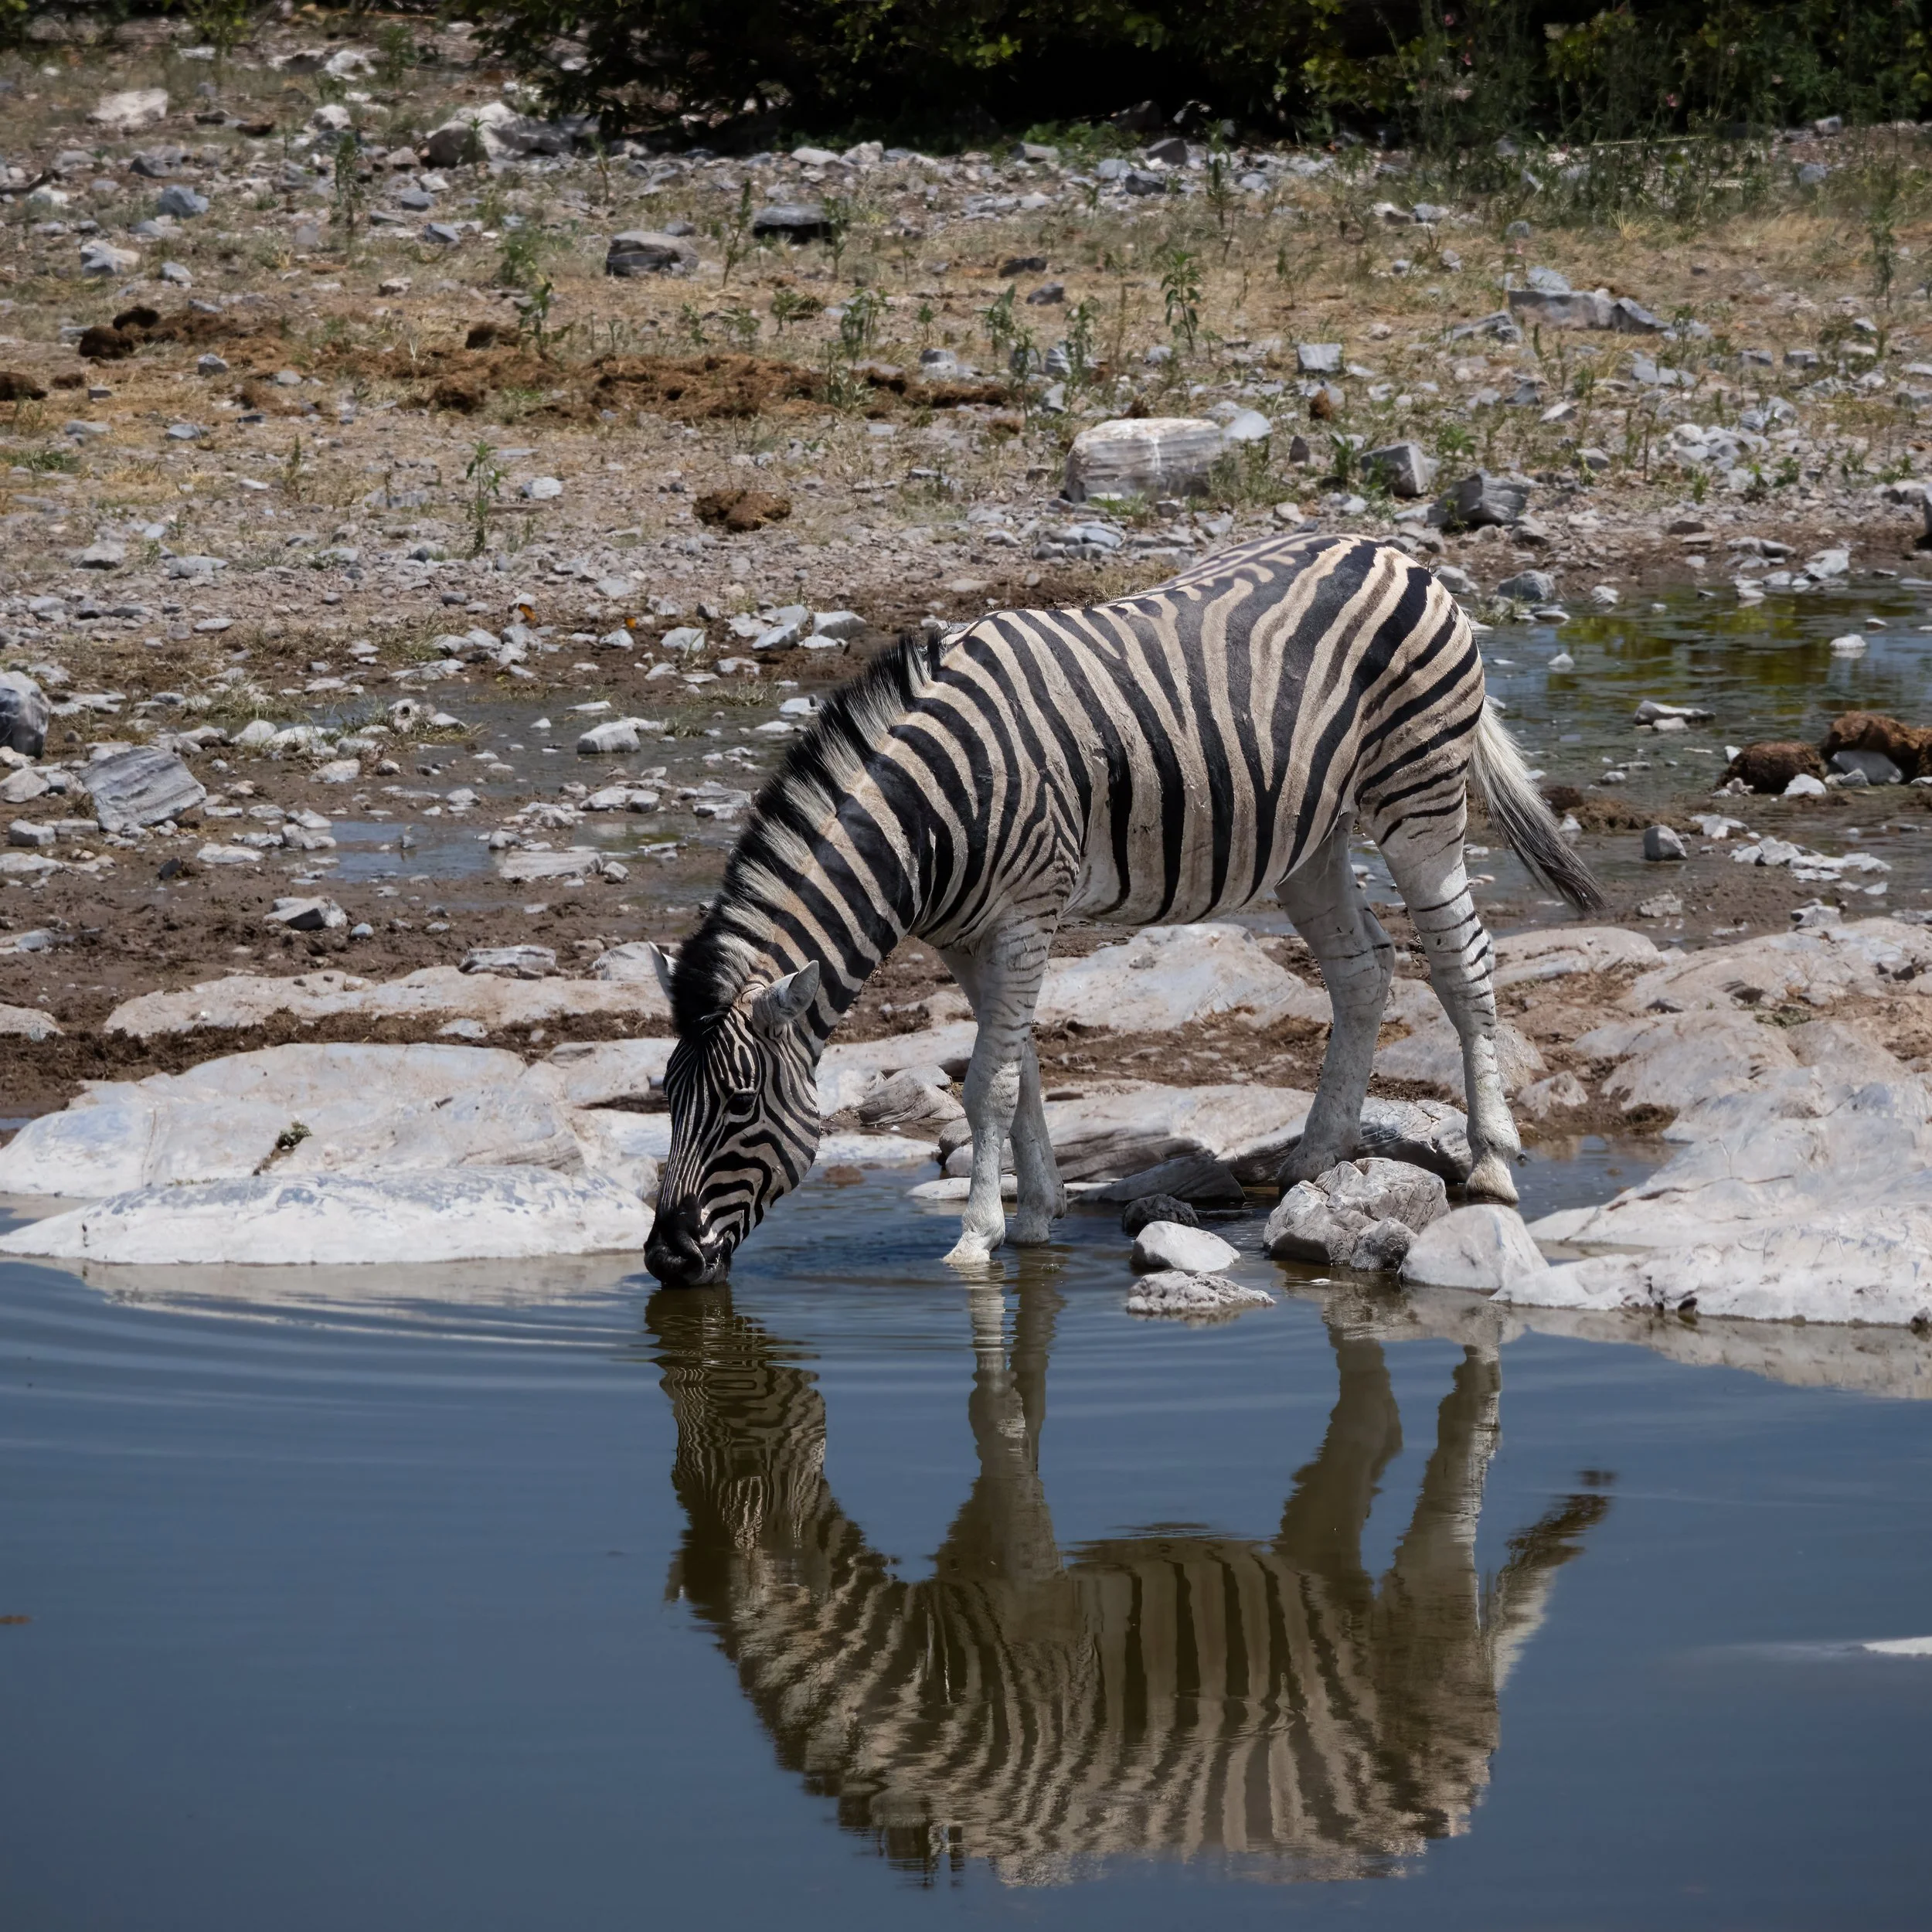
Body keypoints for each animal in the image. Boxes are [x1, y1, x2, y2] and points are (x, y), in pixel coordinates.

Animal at [642, 529, 1598, 1287]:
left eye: (737, 1105)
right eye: (666, 1098)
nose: (666, 1259)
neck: (927, 820)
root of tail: (1394, 551)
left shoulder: (1027, 907)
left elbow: (988, 1079)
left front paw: (976, 1237)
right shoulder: (966, 934)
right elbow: (1018, 1065)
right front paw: (1036, 1213)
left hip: (1419, 797)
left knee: (1460, 960)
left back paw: (1492, 1163)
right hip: (1311, 836)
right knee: (1364, 970)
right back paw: (1316, 1156)